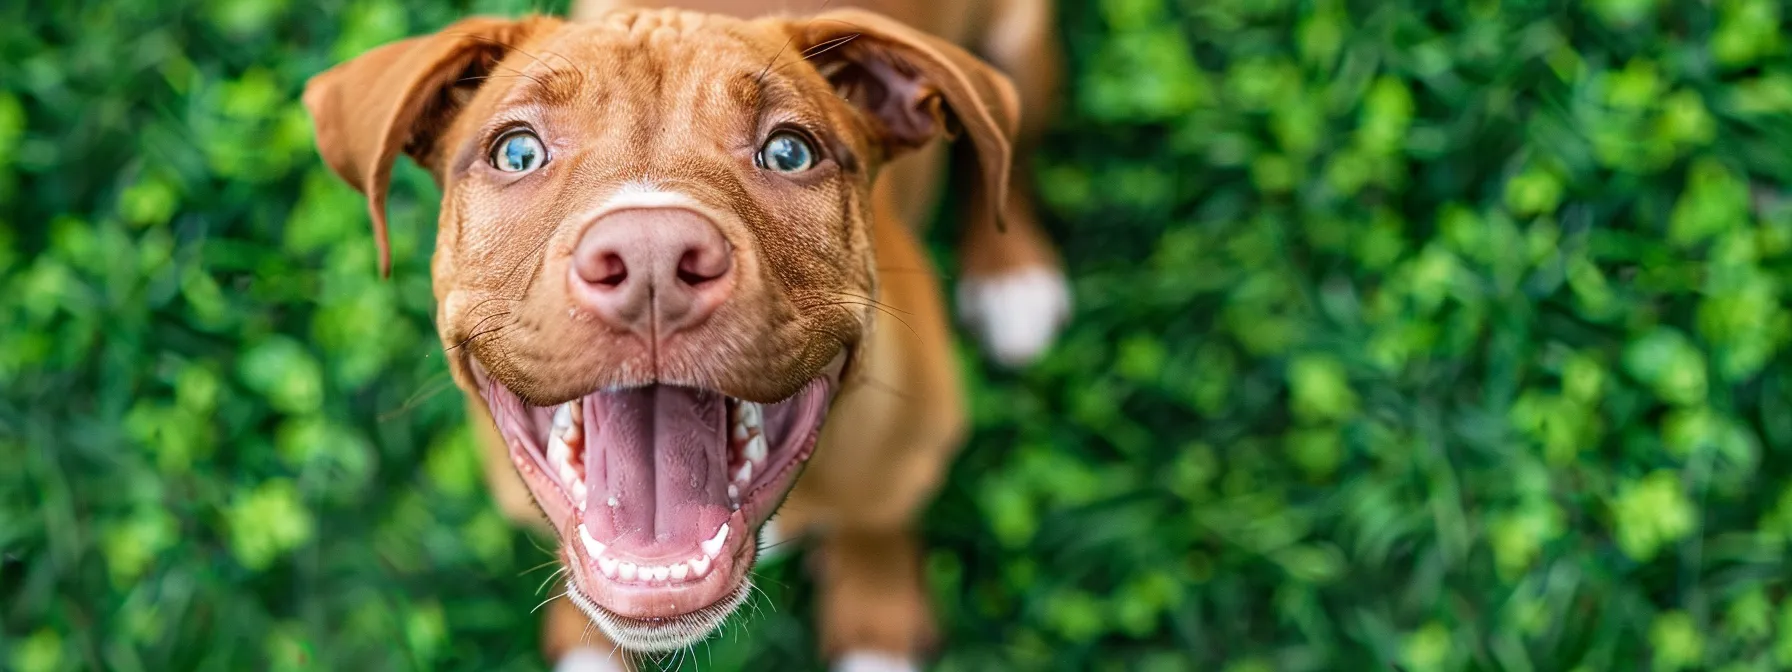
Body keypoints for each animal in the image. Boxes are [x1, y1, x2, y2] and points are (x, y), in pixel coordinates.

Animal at [304, 2, 1060, 670]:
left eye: (790, 151)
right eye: (516, 151)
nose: (651, 260)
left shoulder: (907, 450)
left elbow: (874, 522)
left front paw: (877, 622)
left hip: (1020, 53)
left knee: (1012, 157)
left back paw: (1013, 273)